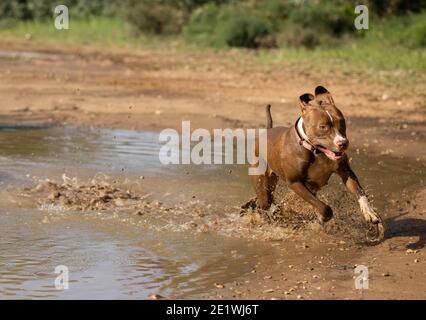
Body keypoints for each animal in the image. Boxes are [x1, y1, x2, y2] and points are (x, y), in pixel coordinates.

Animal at [248, 85, 384, 240]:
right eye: (323, 126)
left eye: (342, 122)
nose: (343, 143)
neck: (315, 150)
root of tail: (267, 131)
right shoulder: (295, 182)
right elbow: (323, 207)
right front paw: (323, 217)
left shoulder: (345, 171)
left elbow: (359, 192)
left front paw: (369, 213)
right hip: (263, 184)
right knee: (263, 202)